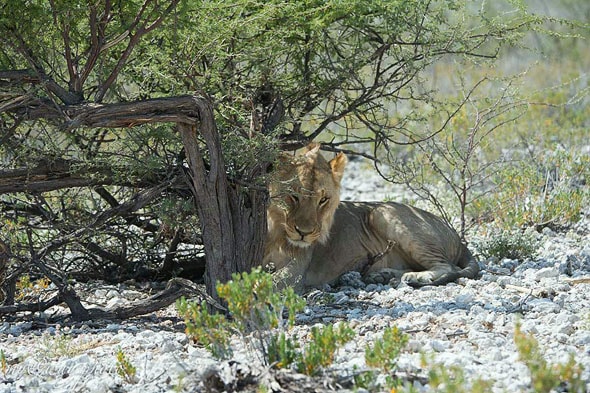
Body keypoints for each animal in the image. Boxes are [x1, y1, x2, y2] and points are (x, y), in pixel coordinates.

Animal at [264, 142, 480, 290]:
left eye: (323, 199)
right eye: (293, 196)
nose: (304, 233)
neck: (276, 231)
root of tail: (457, 236)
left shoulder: (297, 271)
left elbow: (268, 282)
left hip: (381, 212)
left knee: (449, 267)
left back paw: (414, 277)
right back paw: (383, 275)